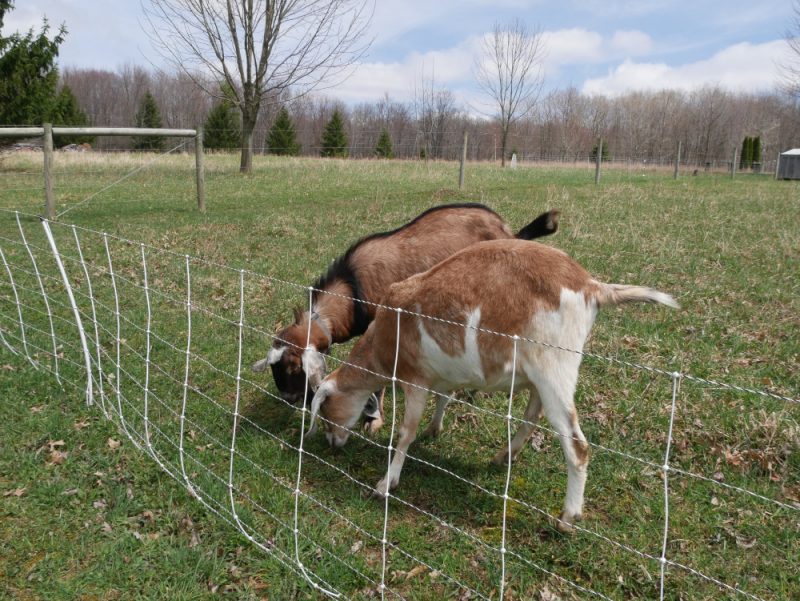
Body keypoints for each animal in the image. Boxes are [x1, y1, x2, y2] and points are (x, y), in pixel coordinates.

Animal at [308, 239, 678, 531]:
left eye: (325, 409)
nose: (332, 443)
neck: (385, 337)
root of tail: (590, 286)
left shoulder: (415, 378)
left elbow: (404, 434)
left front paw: (386, 483)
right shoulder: (443, 374)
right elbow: (444, 399)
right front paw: (434, 429)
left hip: (555, 366)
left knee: (577, 446)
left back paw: (567, 518)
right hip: (540, 374)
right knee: (532, 414)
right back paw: (504, 456)